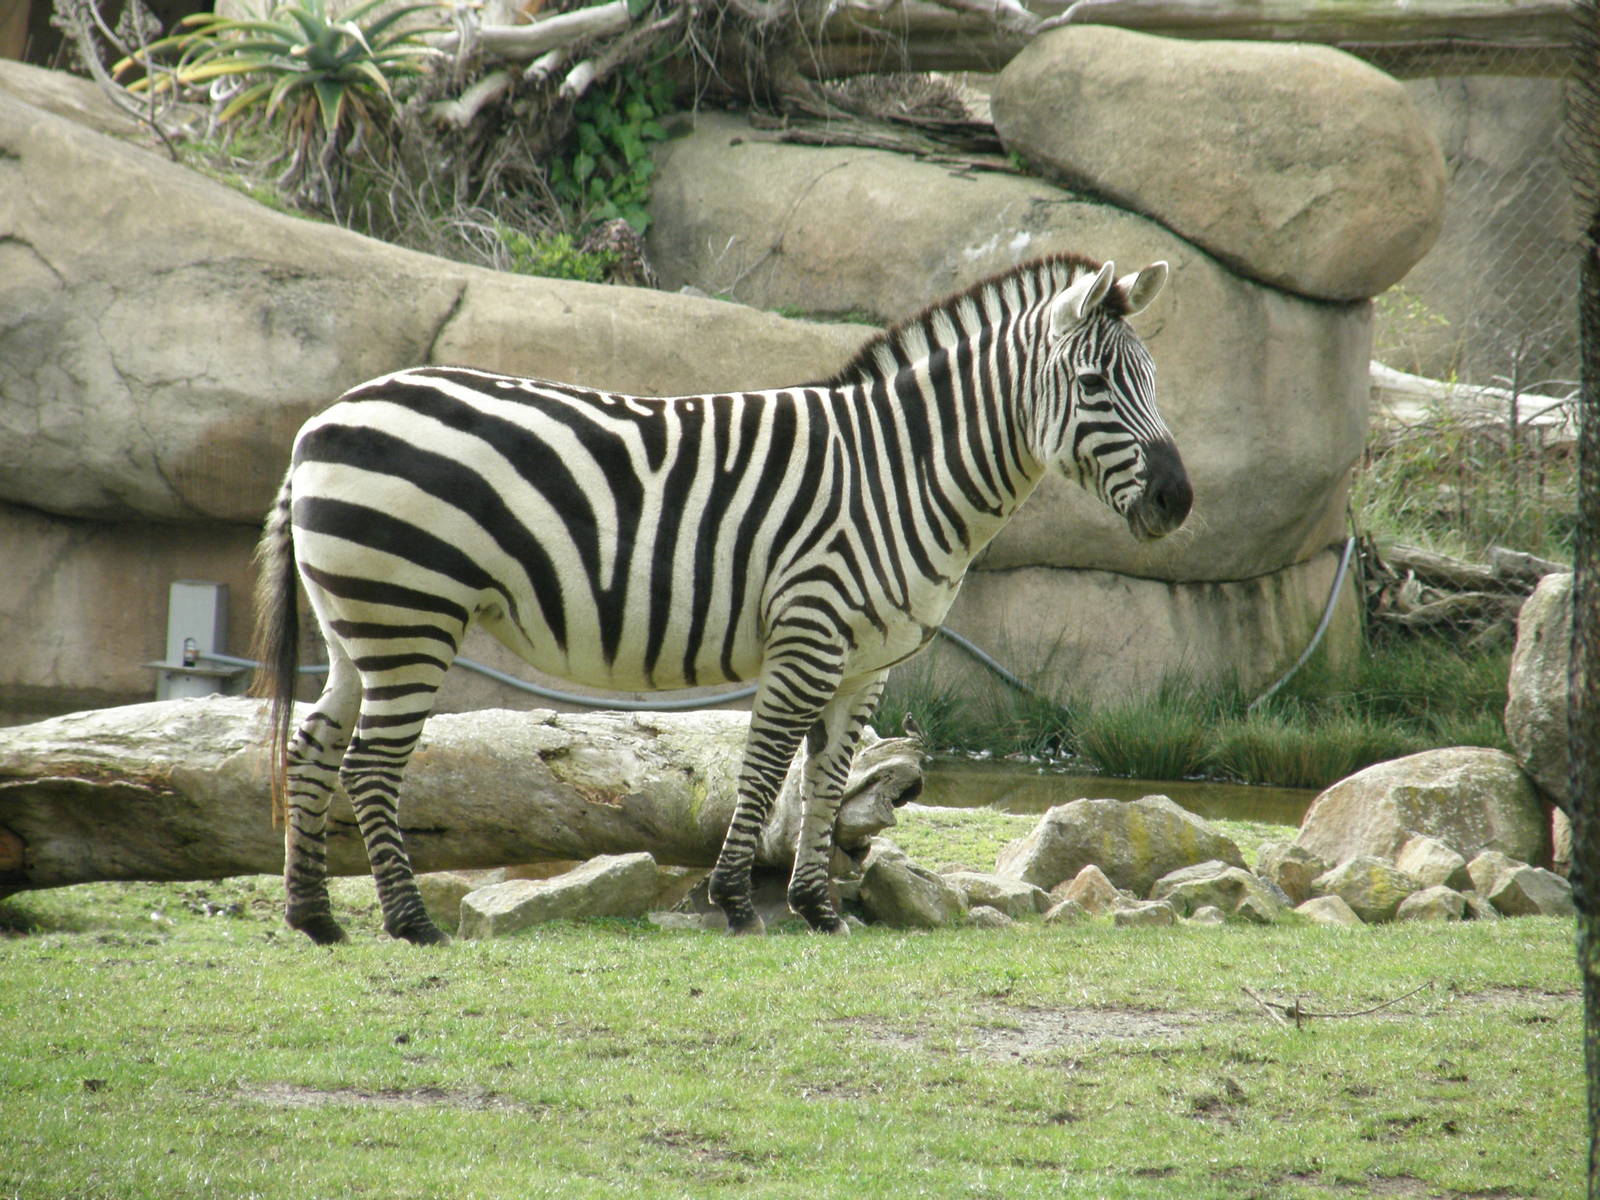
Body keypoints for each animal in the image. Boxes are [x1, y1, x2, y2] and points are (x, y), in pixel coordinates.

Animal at [252, 251, 1192, 945]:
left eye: (1153, 379)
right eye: (1096, 386)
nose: (1179, 502)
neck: (901, 474)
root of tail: (317, 424)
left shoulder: (867, 662)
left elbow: (829, 778)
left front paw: (819, 909)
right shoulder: (810, 629)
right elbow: (768, 762)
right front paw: (739, 901)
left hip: (357, 623)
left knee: (313, 746)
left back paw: (314, 918)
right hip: (410, 613)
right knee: (372, 764)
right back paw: (410, 923)